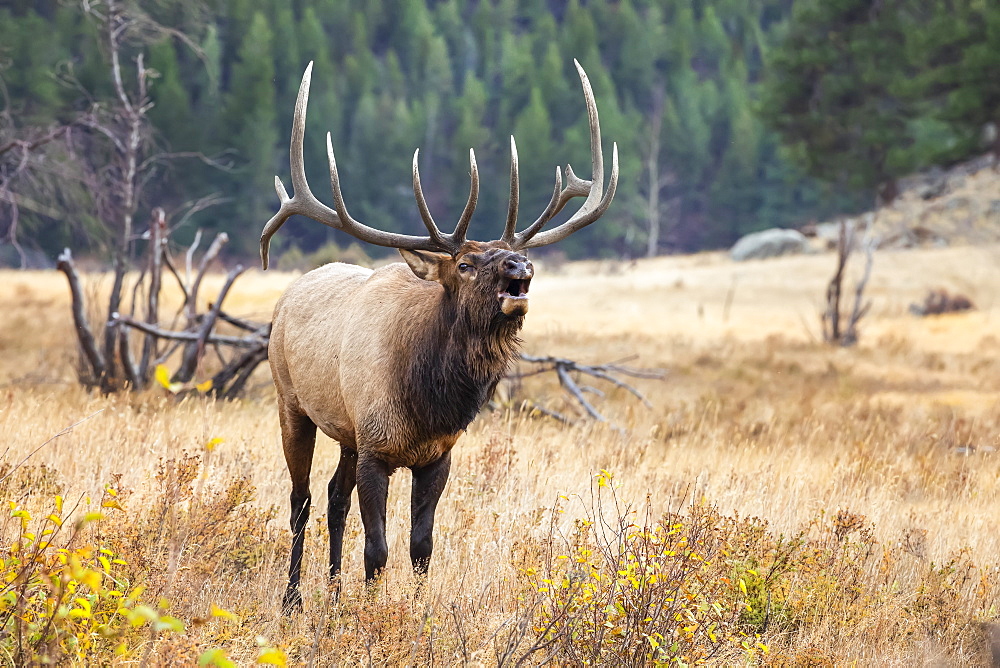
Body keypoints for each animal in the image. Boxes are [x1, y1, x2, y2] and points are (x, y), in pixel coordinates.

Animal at [258, 60, 616, 608]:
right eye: (465, 264)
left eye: (513, 255)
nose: (520, 265)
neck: (427, 402)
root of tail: (287, 296)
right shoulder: (377, 447)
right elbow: (378, 550)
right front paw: (371, 612)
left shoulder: (436, 455)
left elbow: (421, 547)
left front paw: (410, 609)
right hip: (291, 402)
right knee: (301, 500)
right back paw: (294, 598)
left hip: (344, 430)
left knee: (334, 500)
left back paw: (334, 595)